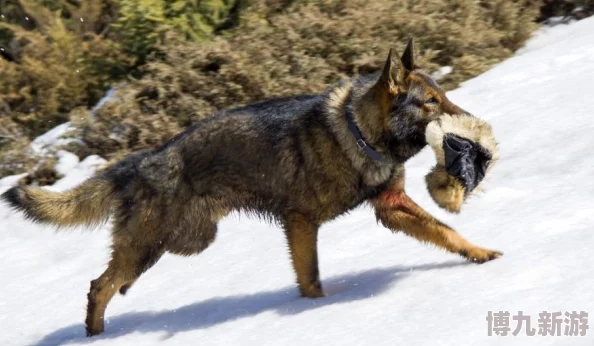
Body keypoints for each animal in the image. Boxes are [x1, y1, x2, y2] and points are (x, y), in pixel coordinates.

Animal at [1, 39, 500, 336]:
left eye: (444, 95)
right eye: (431, 102)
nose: (474, 128)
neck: (360, 131)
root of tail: (140, 160)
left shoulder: (392, 206)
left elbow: (446, 232)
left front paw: (480, 254)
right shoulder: (301, 223)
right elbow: (311, 279)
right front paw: (317, 311)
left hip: (179, 241)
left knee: (111, 282)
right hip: (159, 243)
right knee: (99, 285)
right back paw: (95, 335)